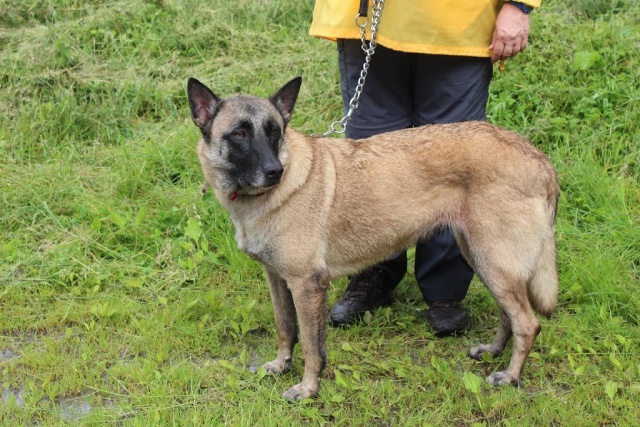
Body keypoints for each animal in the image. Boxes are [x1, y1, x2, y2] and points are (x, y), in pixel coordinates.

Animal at [188, 76, 556, 402]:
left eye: (274, 131)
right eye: (239, 134)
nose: (274, 172)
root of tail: (540, 160)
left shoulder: (307, 285)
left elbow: (310, 345)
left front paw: (308, 389)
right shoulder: (278, 280)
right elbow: (285, 328)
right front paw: (281, 365)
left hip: (494, 263)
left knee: (528, 323)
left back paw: (510, 376)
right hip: (485, 261)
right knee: (508, 315)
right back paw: (493, 352)